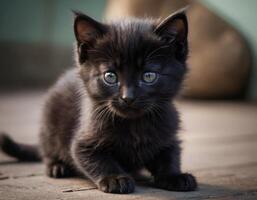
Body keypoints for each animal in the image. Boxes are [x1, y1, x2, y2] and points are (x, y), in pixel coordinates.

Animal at [0, 9, 196, 194]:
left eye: (148, 76)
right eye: (110, 76)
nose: (128, 97)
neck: (134, 124)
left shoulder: (169, 133)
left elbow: (170, 155)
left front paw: (175, 176)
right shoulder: (83, 141)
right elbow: (98, 159)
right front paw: (115, 178)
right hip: (50, 119)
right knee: (47, 149)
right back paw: (57, 166)